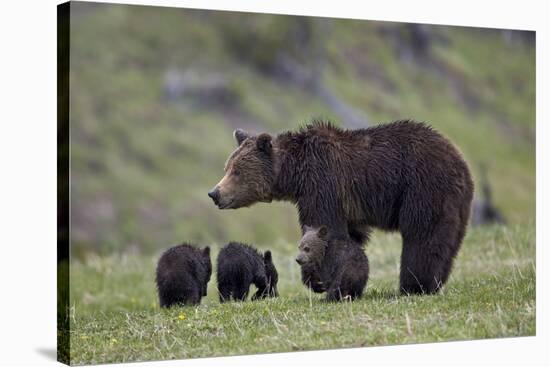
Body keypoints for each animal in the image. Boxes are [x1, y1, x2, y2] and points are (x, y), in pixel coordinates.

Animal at [209, 121, 476, 296]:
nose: (215, 193)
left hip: (422, 188)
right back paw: (434, 282)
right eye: (227, 167)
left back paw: (414, 286)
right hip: (455, 203)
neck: (294, 175)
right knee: (446, 242)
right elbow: (352, 235)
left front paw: (316, 278)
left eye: (237, 171)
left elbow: (324, 226)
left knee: (422, 236)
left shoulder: (323, 185)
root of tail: (460, 162)